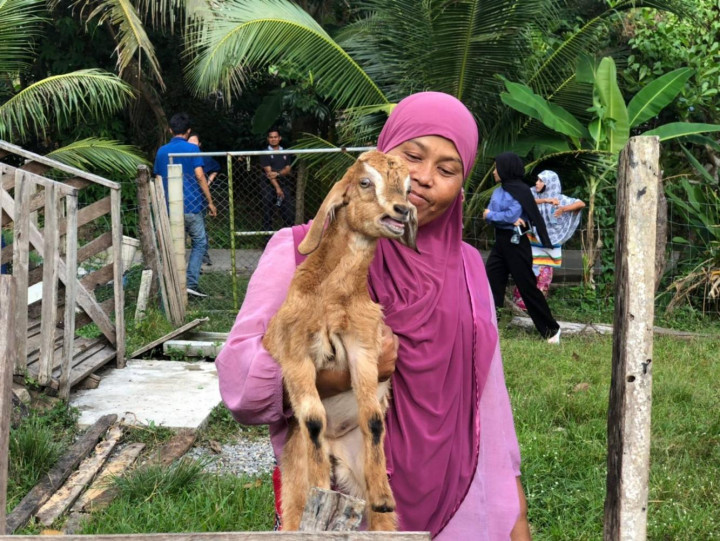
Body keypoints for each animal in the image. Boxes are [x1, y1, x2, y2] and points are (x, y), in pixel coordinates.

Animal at [262, 150, 417, 531]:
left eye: (408, 188)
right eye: (364, 182)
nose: (401, 210)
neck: (332, 300)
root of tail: (336, 451)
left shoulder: (363, 347)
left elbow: (373, 417)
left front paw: (383, 497)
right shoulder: (295, 350)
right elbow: (313, 417)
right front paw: (319, 483)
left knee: (381, 521)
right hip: (293, 478)